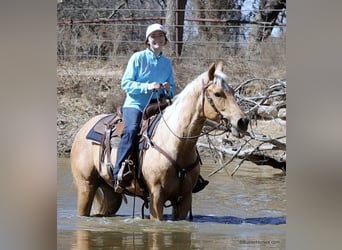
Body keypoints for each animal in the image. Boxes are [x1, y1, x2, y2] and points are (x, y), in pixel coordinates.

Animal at [71, 61, 250, 220]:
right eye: (218, 93)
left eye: (232, 91)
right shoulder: (156, 196)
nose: (243, 121)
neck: (176, 143)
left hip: (111, 193)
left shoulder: (184, 198)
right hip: (86, 186)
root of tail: (82, 129)